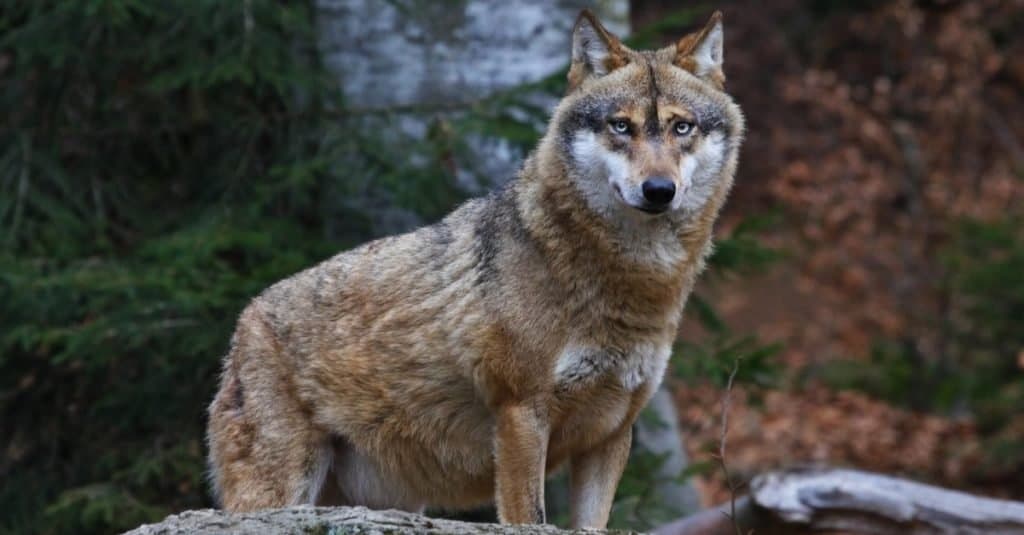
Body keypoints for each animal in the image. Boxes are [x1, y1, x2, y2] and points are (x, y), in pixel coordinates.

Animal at [205, 10, 745, 524]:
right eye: (621, 126)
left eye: (681, 127)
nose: (659, 190)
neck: (633, 282)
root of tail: (245, 318)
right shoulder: (521, 414)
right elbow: (529, 517)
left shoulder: (612, 434)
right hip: (281, 493)